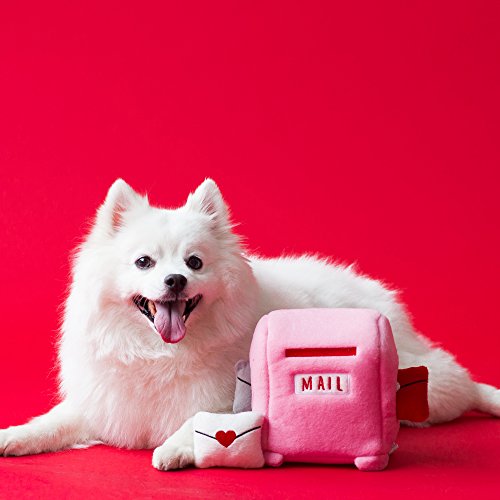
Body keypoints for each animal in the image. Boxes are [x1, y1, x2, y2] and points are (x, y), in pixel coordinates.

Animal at [0, 180, 500, 468]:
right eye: (144, 262)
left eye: (194, 262)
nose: (175, 279)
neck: (160, 353)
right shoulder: (103, 404)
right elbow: (51, 423)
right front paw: (14, 436)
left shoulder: (233, 396)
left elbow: (199, 418)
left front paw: (176, 448)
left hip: (424, 388)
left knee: (458, 382)